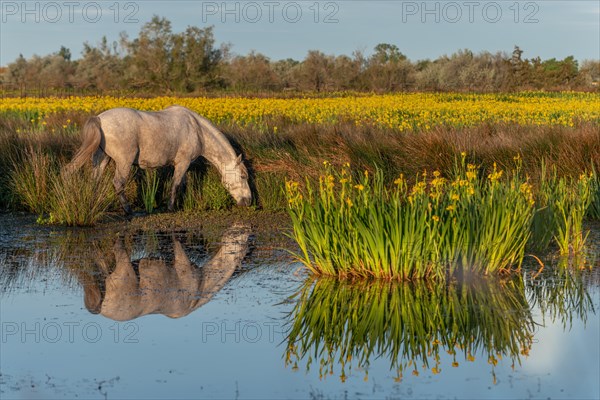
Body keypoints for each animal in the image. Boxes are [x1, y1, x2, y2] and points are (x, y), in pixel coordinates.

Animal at [67, 105, 251, 212]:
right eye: (243, 176)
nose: (248, 200)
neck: (197, 130)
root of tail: (99, 119)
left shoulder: (182, 165)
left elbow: (182, 184)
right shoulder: (183, 163)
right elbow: (176, 185)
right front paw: (171, 207)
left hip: (102, 159)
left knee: (95, 181)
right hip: (124, 162)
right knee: (118, 183)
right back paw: (128, 210)